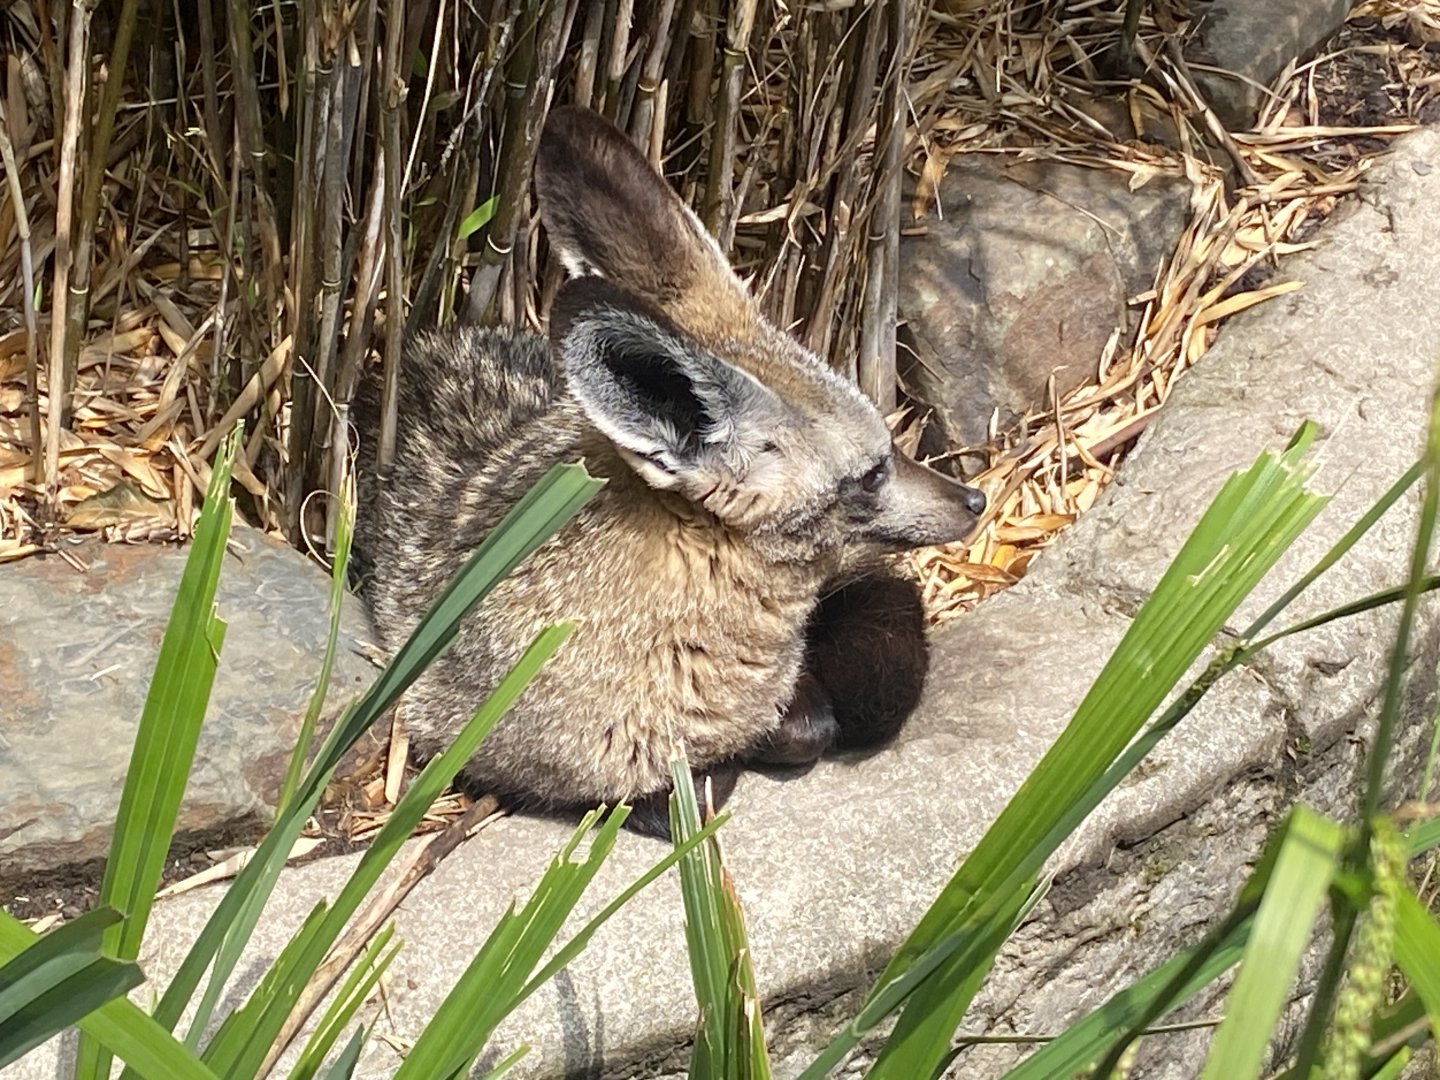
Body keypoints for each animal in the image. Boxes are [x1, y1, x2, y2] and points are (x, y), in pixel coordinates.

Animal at [353, 106, 986, 834]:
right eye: (873, 473)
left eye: (890, 448)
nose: (976, 500)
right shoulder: (502, 757)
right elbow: (720, 772)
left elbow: (816, 717)